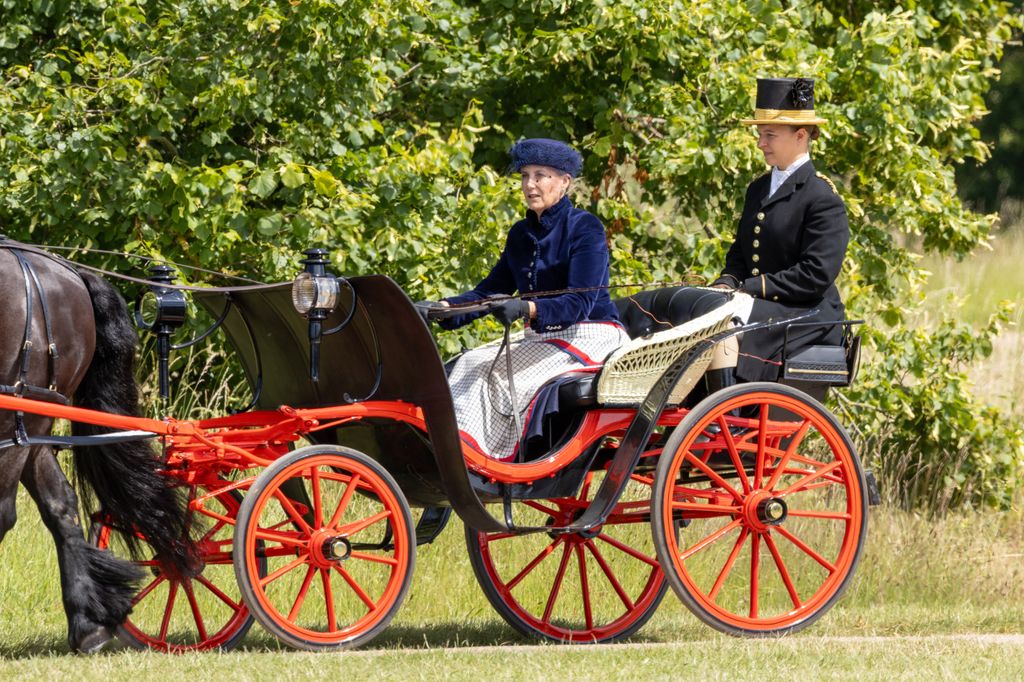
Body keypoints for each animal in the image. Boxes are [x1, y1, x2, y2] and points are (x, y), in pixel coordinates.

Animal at [0, 241, 193, 651]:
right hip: (34, 423)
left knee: (5, 511)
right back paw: (88, 623)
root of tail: (67, 272)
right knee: (60, 504)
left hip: (17, 417)